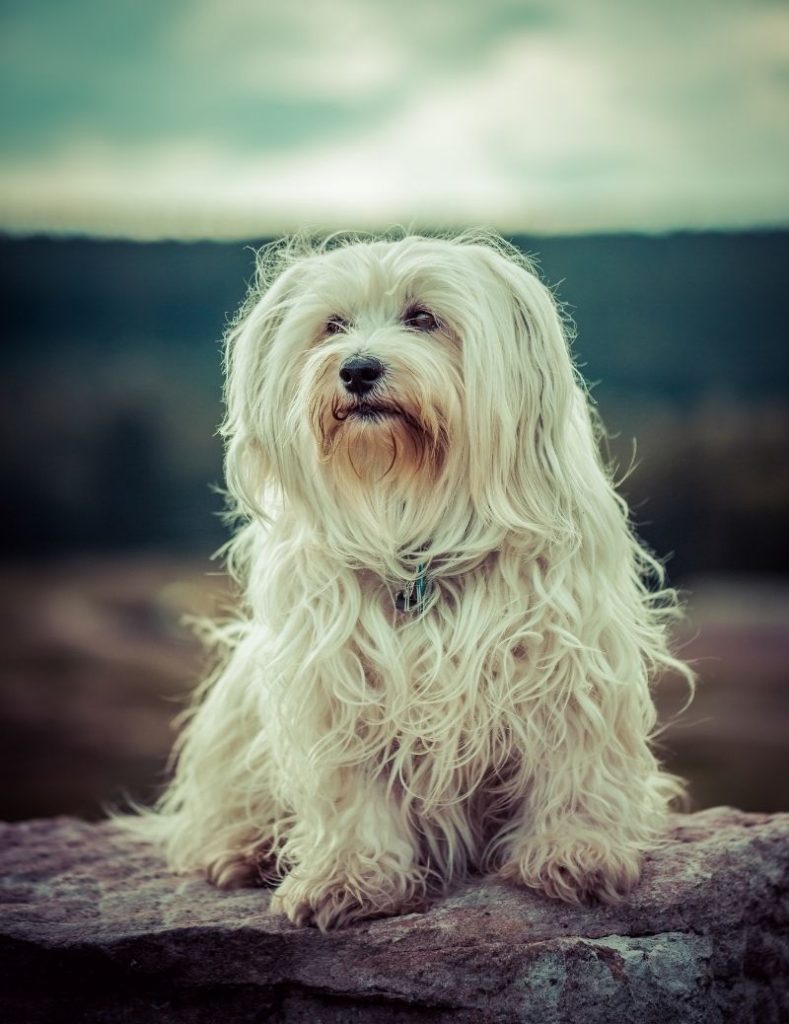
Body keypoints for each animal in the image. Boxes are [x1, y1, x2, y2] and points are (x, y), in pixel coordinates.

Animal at [140, 230, 691, 929]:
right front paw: (349, 876)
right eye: (333, 325)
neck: (420, 534)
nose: (357, 370)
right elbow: (353, 793)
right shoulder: (341, 684)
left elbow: (574, 769)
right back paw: (243, 847)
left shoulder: (569, 664)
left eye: (423, 318)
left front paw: (574, 850)